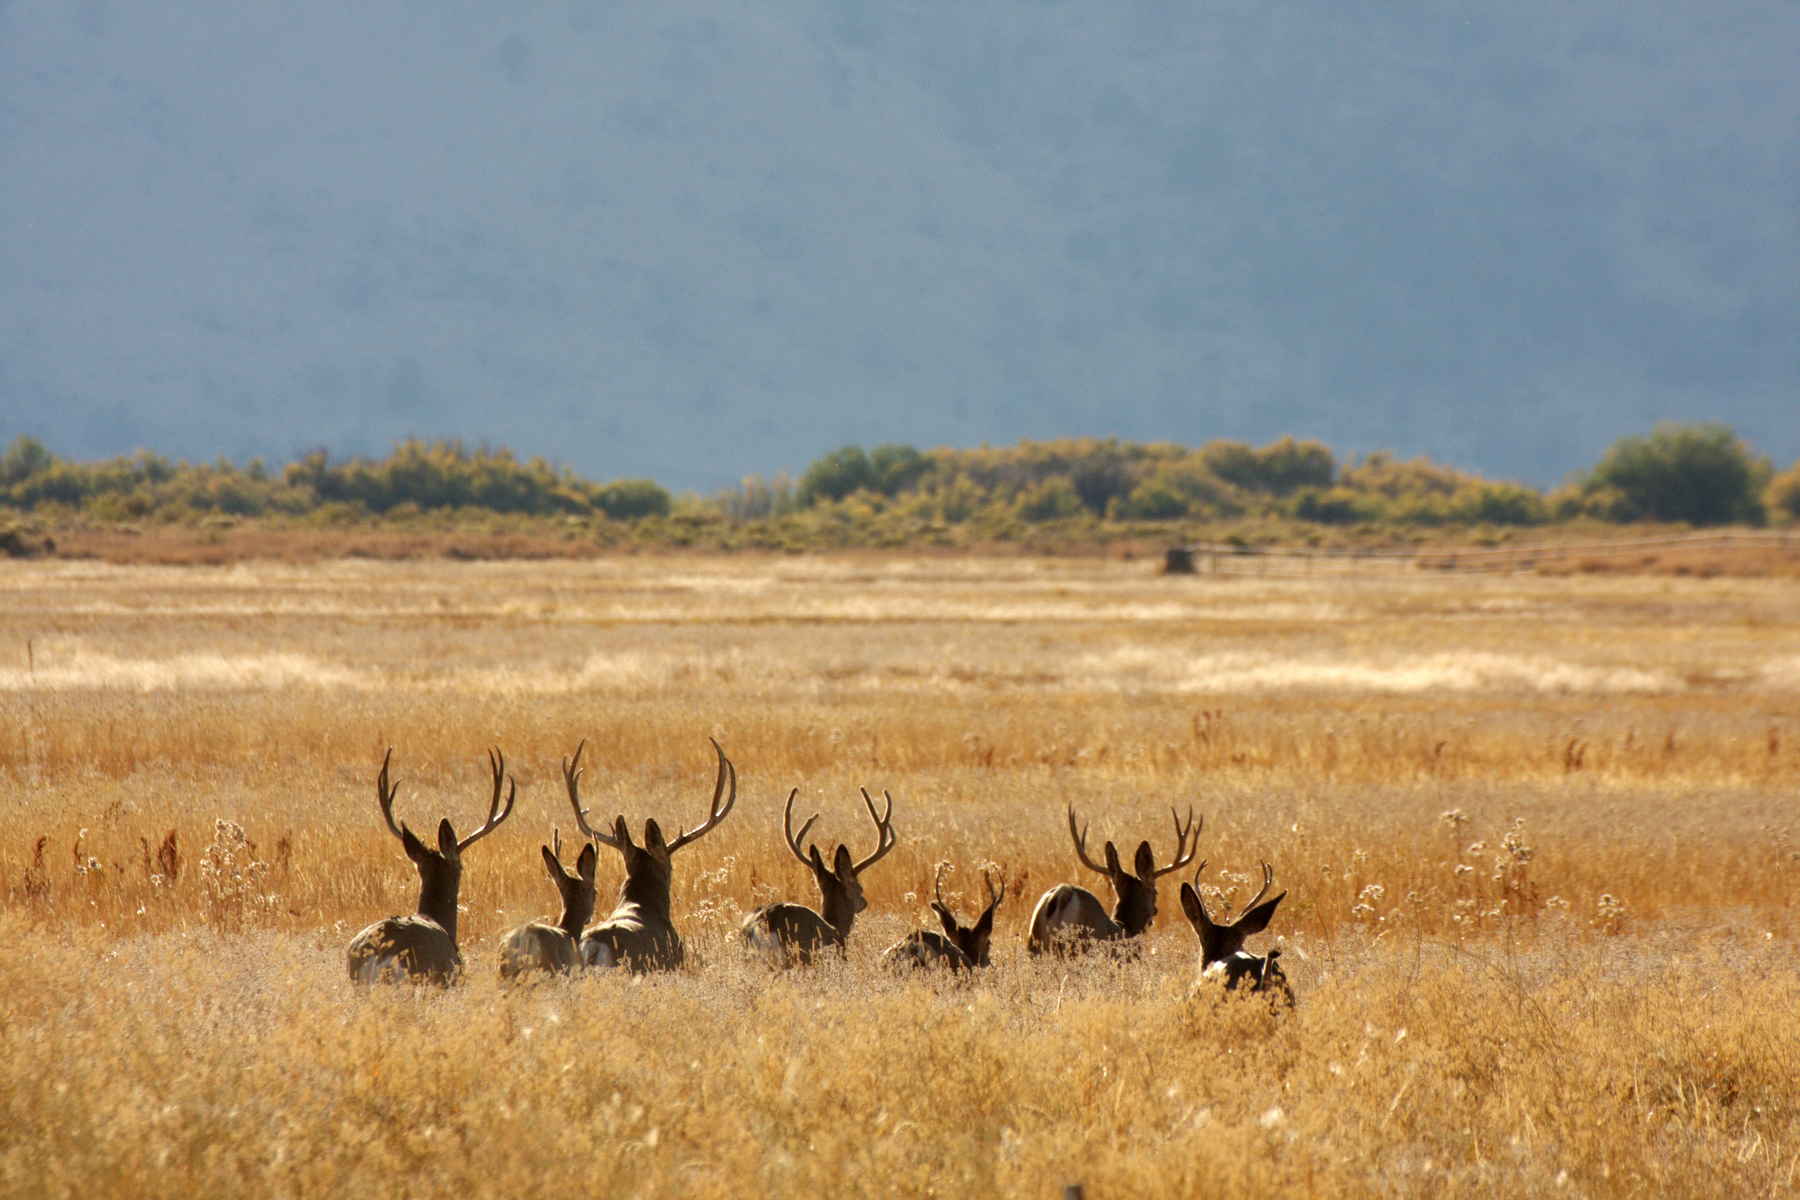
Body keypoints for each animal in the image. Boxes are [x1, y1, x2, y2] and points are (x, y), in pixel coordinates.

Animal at [497, 829, 599, 980]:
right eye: (595, 893)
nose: (590, 918)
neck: (569, 932)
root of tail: (525, 937)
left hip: (504, 972)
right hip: (550, 969)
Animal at [1025, 804, 1200, 957]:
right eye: (1156, 891)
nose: (1155, 912)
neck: (1126, 930)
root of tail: (1062, 894)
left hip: (1034, 945)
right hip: (1077, 946)